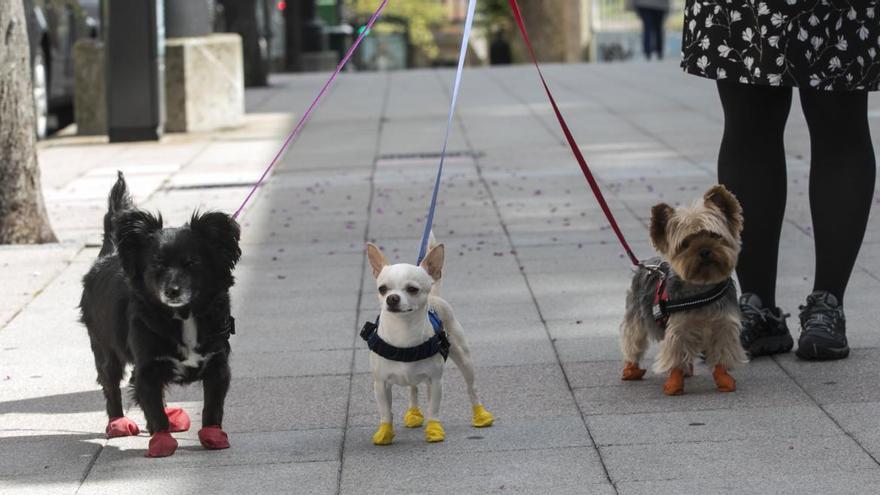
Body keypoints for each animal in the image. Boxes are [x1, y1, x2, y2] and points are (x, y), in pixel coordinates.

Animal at [80, 172, 241, 460]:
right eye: (157, 264)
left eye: (192, 263)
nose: (172, 290)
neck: (183, 315)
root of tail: (109, 254)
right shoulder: (147, 369)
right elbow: (153, 405)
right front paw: (162, 441)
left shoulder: (217, 366)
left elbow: (212, 406)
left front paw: (213, 435)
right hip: (104, 349)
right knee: (111, 387)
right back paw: (118, 423)